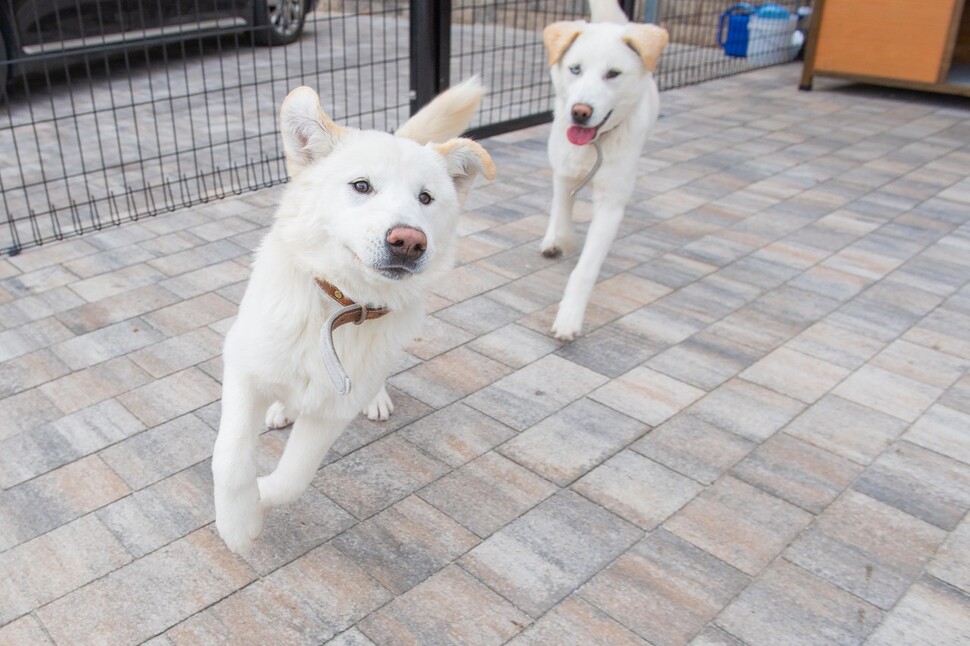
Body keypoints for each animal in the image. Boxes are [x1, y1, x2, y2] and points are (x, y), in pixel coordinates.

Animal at [212, 78, 492, 556]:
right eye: (361, 186)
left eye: (426, 198)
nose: (409, 241)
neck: (338, 305)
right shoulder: (243, 367)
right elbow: (229, 458)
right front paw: (237, 522)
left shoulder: (332, 410)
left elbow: (293, 478)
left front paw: (259, 498)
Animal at [536, 0, 664, 344]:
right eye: (575, 69)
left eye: (613, 74)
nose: (580, 112)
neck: (594, 144)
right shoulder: (564, 172)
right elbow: (562, 215)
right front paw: (562, 240)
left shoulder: (611, 203)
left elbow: (586, 268)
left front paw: (569, 318)